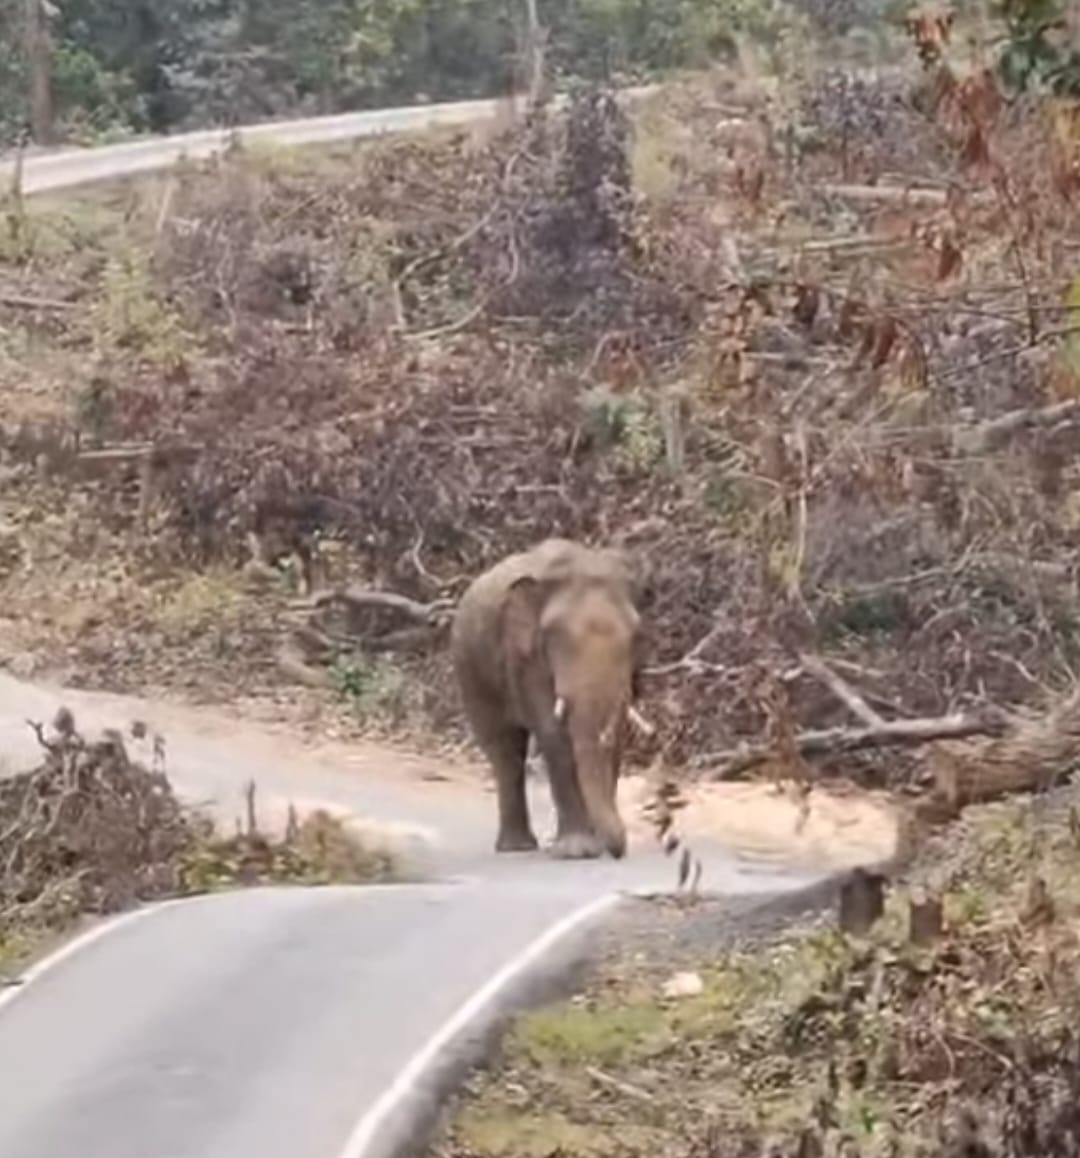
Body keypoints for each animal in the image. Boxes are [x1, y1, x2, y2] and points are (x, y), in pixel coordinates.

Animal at [451, 538, 646, 860]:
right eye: (556, 637)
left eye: (637, 635)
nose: (617, 851)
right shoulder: (523, 655)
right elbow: (553, 732)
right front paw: (578, 852)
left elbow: (616, 735)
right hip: (471, 672)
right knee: (505, 751)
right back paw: (515, 848)